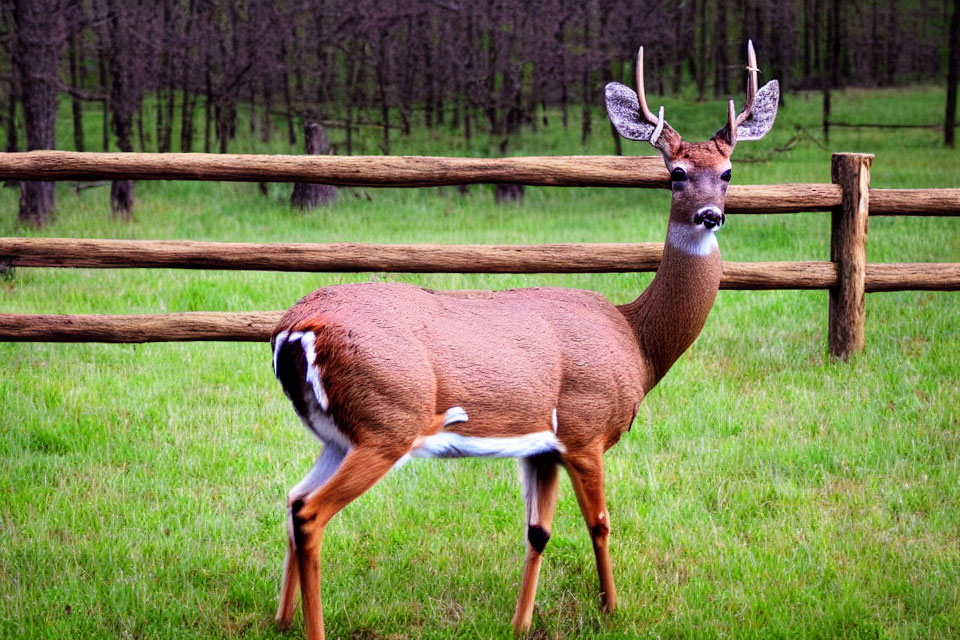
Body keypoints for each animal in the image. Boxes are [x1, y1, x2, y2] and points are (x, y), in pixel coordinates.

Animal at [270, 41, 780, 640]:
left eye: (728, 172)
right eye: (675, 173)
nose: (710, 214)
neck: (637, 342)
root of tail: (294, 330)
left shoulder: (543, 445)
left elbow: (538, 531)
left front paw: (520, 622)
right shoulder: (585, 427)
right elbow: (601, 522)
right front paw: (611, 608)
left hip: (336, 434)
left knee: (292, 498)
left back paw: (280, 618)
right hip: (387, 422)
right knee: (310, 512)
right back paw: (312, 627)